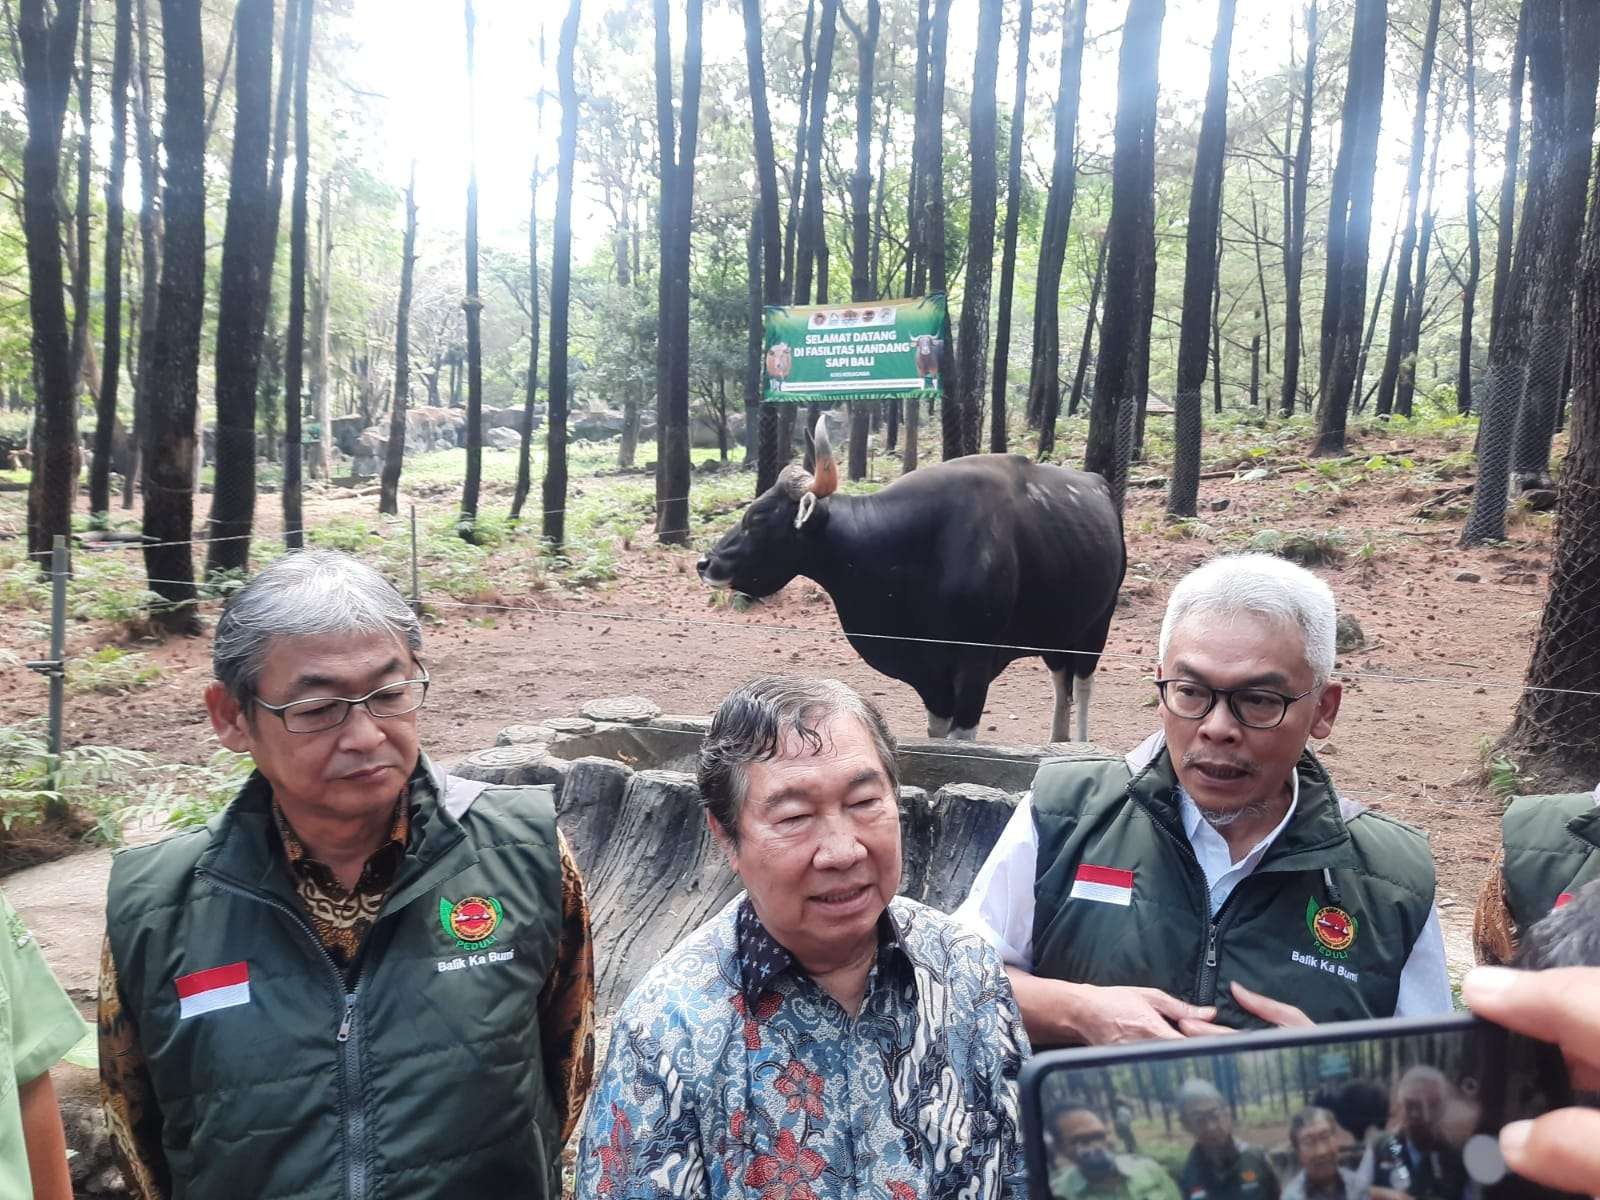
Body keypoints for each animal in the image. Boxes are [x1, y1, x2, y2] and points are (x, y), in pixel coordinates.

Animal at [697, 422, 1126, 742]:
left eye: (756, 518)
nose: (706, 562)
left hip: (1097, 624)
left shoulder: (974, 665)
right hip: (1056, 631)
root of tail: (1102, 488)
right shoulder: (928, 676)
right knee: (1060, 682)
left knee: (1083, 684)